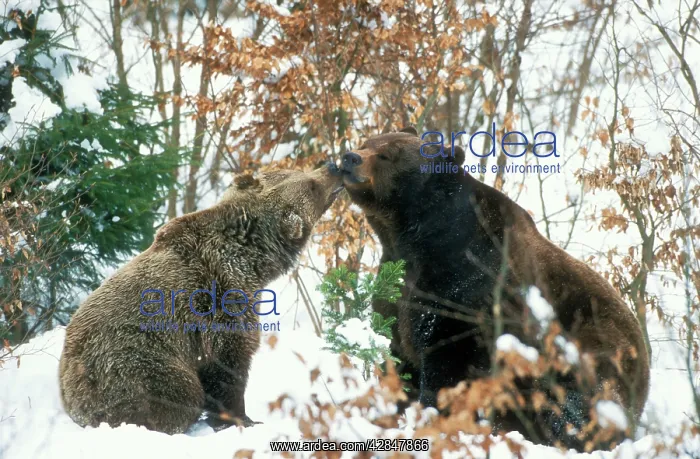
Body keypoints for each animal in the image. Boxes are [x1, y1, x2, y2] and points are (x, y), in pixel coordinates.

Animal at [59, 164, 344, 434]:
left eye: (299, 171)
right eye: (311, 185)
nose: (334, 167)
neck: (249, 258)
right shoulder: (217, 301)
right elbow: (227, 365)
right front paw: (241, 420)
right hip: (135, 364)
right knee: (178, 394)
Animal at [339, 127, 650, 450]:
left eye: (388, 154)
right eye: (367, 142)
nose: (350, 157)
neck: (413, 237)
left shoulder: (468, 288)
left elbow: (448, 361)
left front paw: (434, 414)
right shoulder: (398, 286)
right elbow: (399, 353)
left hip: (590, 349)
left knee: (575, 403)